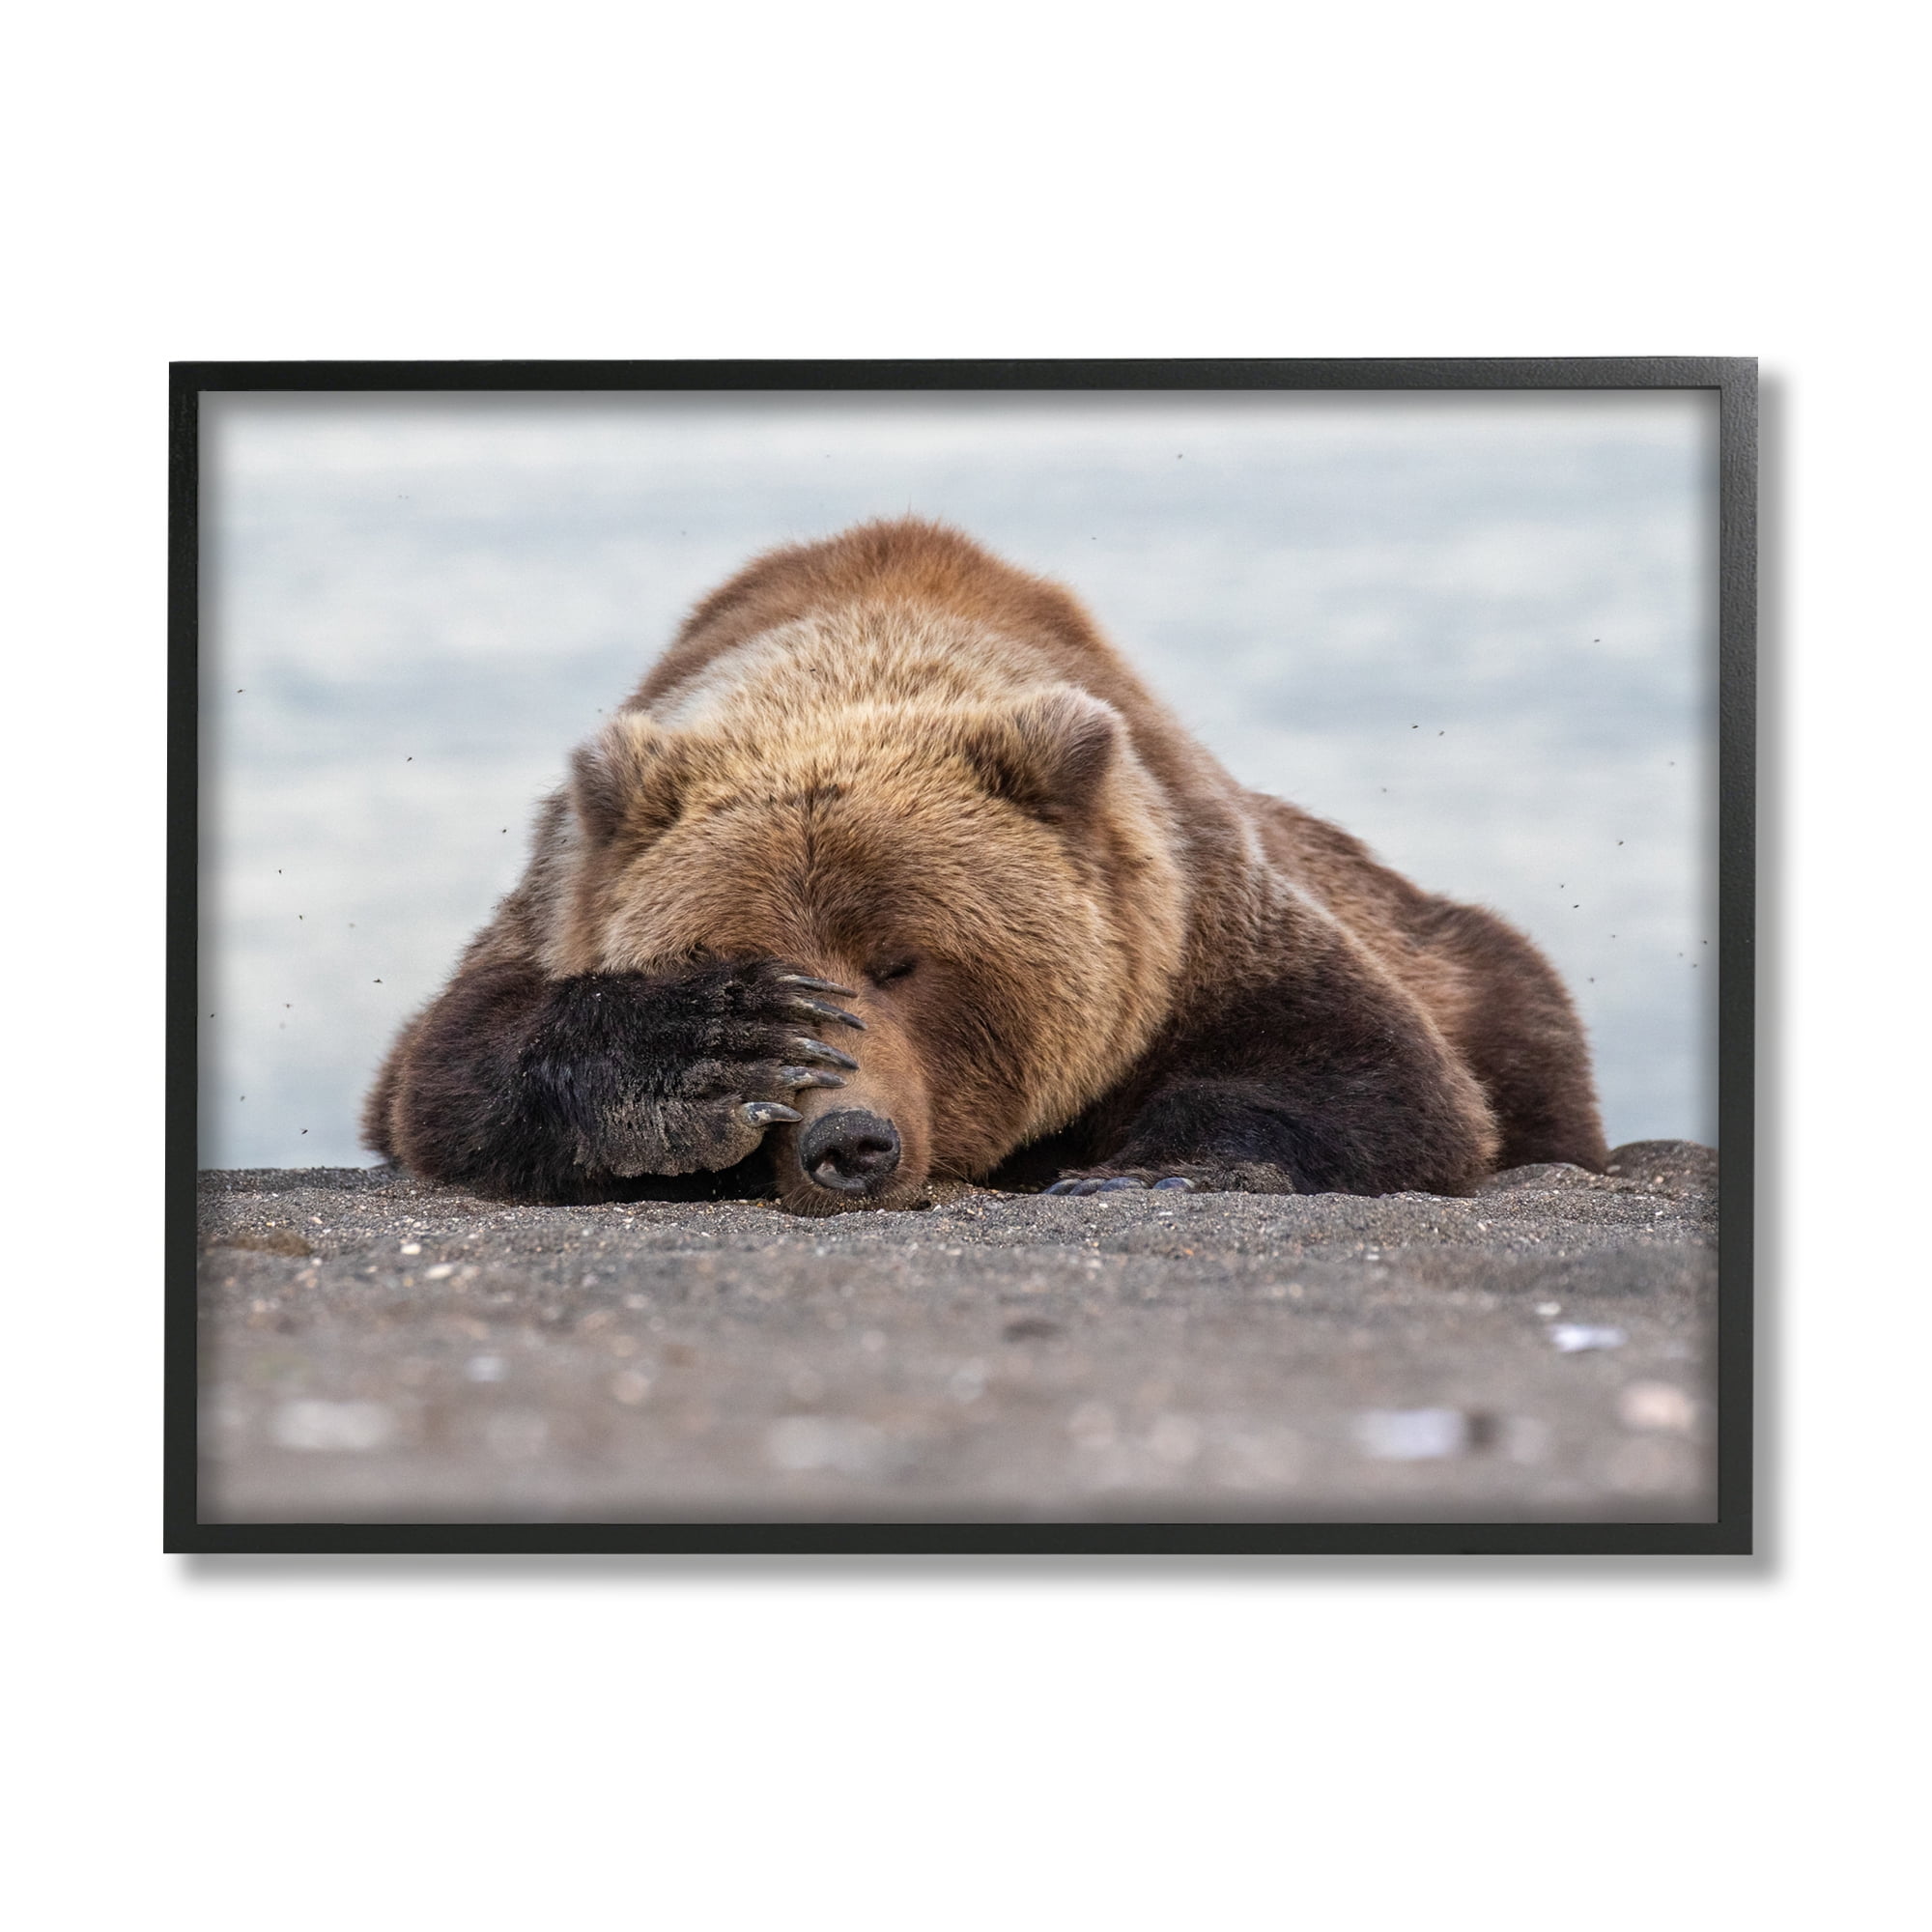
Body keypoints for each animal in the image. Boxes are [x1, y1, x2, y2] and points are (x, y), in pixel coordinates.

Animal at [363, 517, 1608, 1214]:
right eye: (746, 955)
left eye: (904, 961)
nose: (846, 1140)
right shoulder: (557, 898)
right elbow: (446, 1067)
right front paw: (698, 1058)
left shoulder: (1189, 917)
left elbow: (1367, 1070)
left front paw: (1153, 1166)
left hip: (1461, 956)